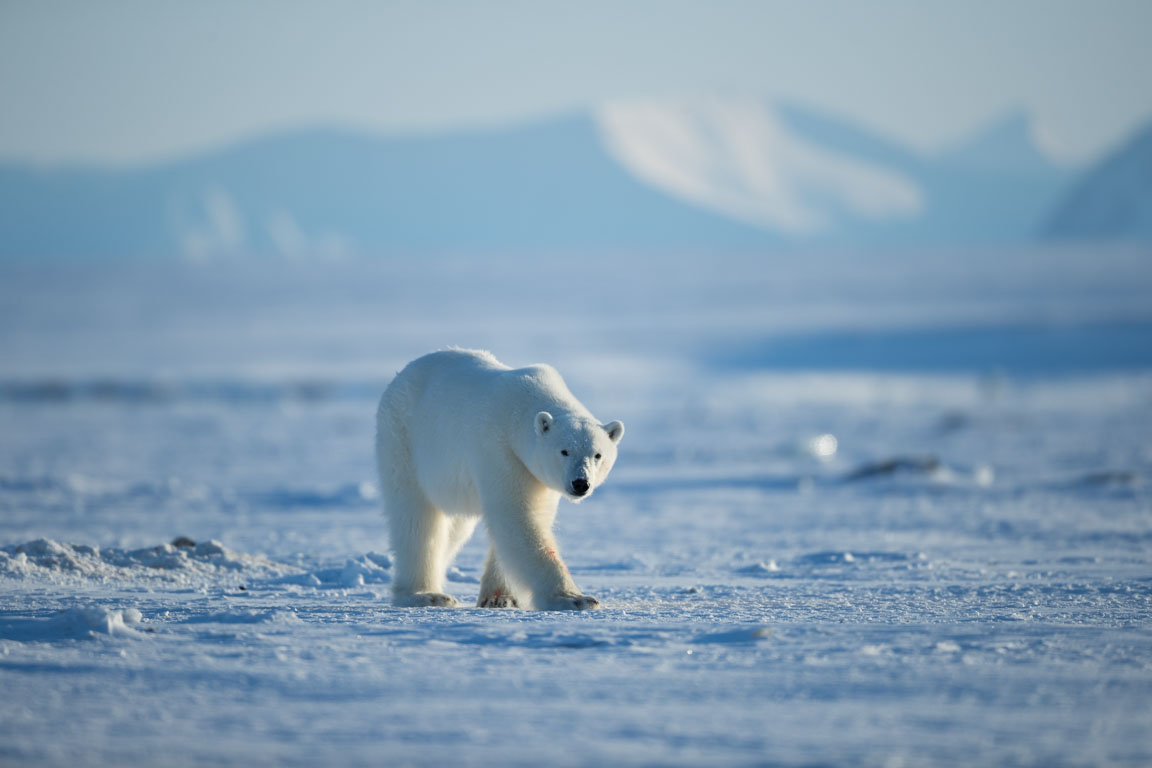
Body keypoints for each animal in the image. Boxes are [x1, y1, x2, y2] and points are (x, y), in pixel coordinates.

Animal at [377, 350, 626, 612]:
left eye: (597, 454)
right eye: (564, 451)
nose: (580, 483)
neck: (520, 408)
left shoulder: (537, 475)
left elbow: (530, 518)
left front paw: (499, 597)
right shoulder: (500, 450)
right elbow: (517, 517)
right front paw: (574, 598)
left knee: (454, 529)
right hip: (403, 442)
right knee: (417, 521)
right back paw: (425, 594)